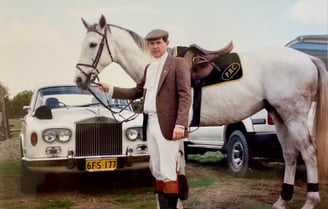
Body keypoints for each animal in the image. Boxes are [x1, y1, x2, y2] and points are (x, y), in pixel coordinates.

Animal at [75, 15, 328, 209]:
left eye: (92, 44)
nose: (78, 79)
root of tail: (308, 58)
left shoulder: (176, 129)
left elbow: (177, 166)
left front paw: (178, 200)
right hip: (280, 115)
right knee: (290, 154)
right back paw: (281, 201)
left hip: (293, 115)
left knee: (308, 152)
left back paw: (310, 201)